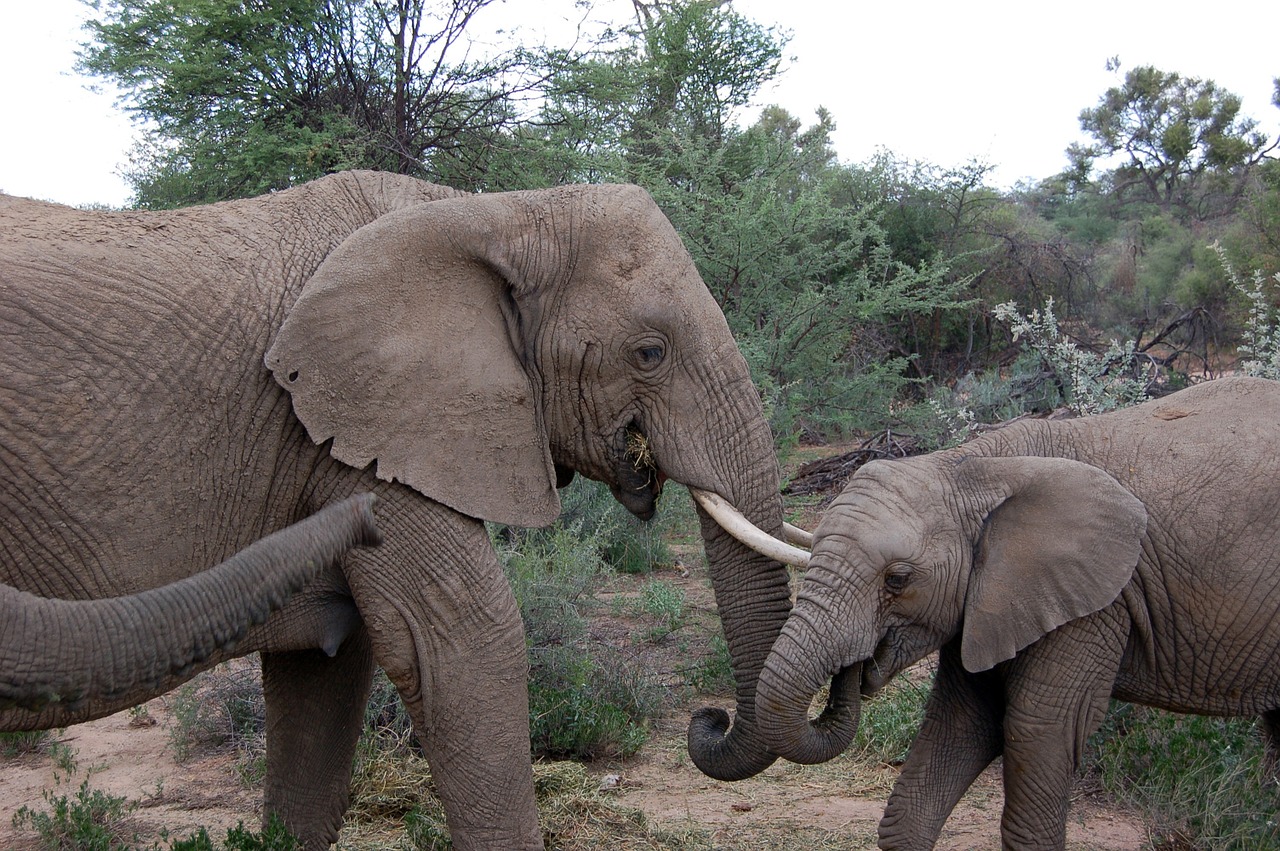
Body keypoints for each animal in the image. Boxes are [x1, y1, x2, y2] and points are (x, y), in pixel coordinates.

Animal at [752, 376, 1280, 849]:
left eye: (897, 580)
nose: (853, 670)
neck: (976, 466)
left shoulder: (1096, 600)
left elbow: (1036, 730)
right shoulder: (988, 601)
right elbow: (959, 726)